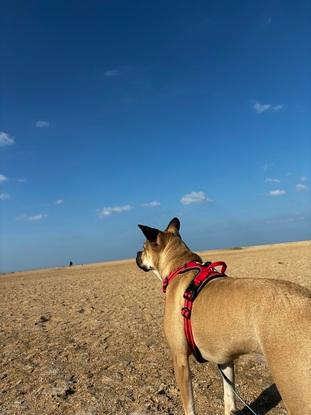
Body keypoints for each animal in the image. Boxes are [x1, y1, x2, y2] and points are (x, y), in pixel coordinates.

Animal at [136, 219, 311, 414]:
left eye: (143, 247)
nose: (137, 254)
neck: (180, 266)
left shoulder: (179, 358)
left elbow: (189, 406)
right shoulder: (225, 359)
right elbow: (229, 396)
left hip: (296, 391)